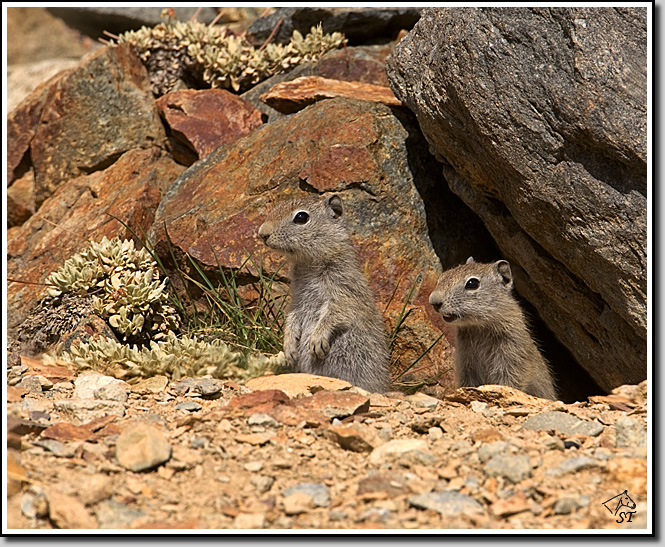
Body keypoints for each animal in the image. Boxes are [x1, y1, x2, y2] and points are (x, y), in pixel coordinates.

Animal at [258, 194, 390, 393]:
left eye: (301, 217)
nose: (262, 233)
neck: (310, 262)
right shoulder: (297, 302)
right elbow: (292, 320)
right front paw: (289, 349)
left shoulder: (343, 294)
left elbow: (333, 316)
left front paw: (316, 342)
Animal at [428, 258, 557, 400]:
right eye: (442, 276)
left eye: (472, 283)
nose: (434, 302)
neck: (479, 327)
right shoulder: (466, 366)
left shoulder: (511, 361)